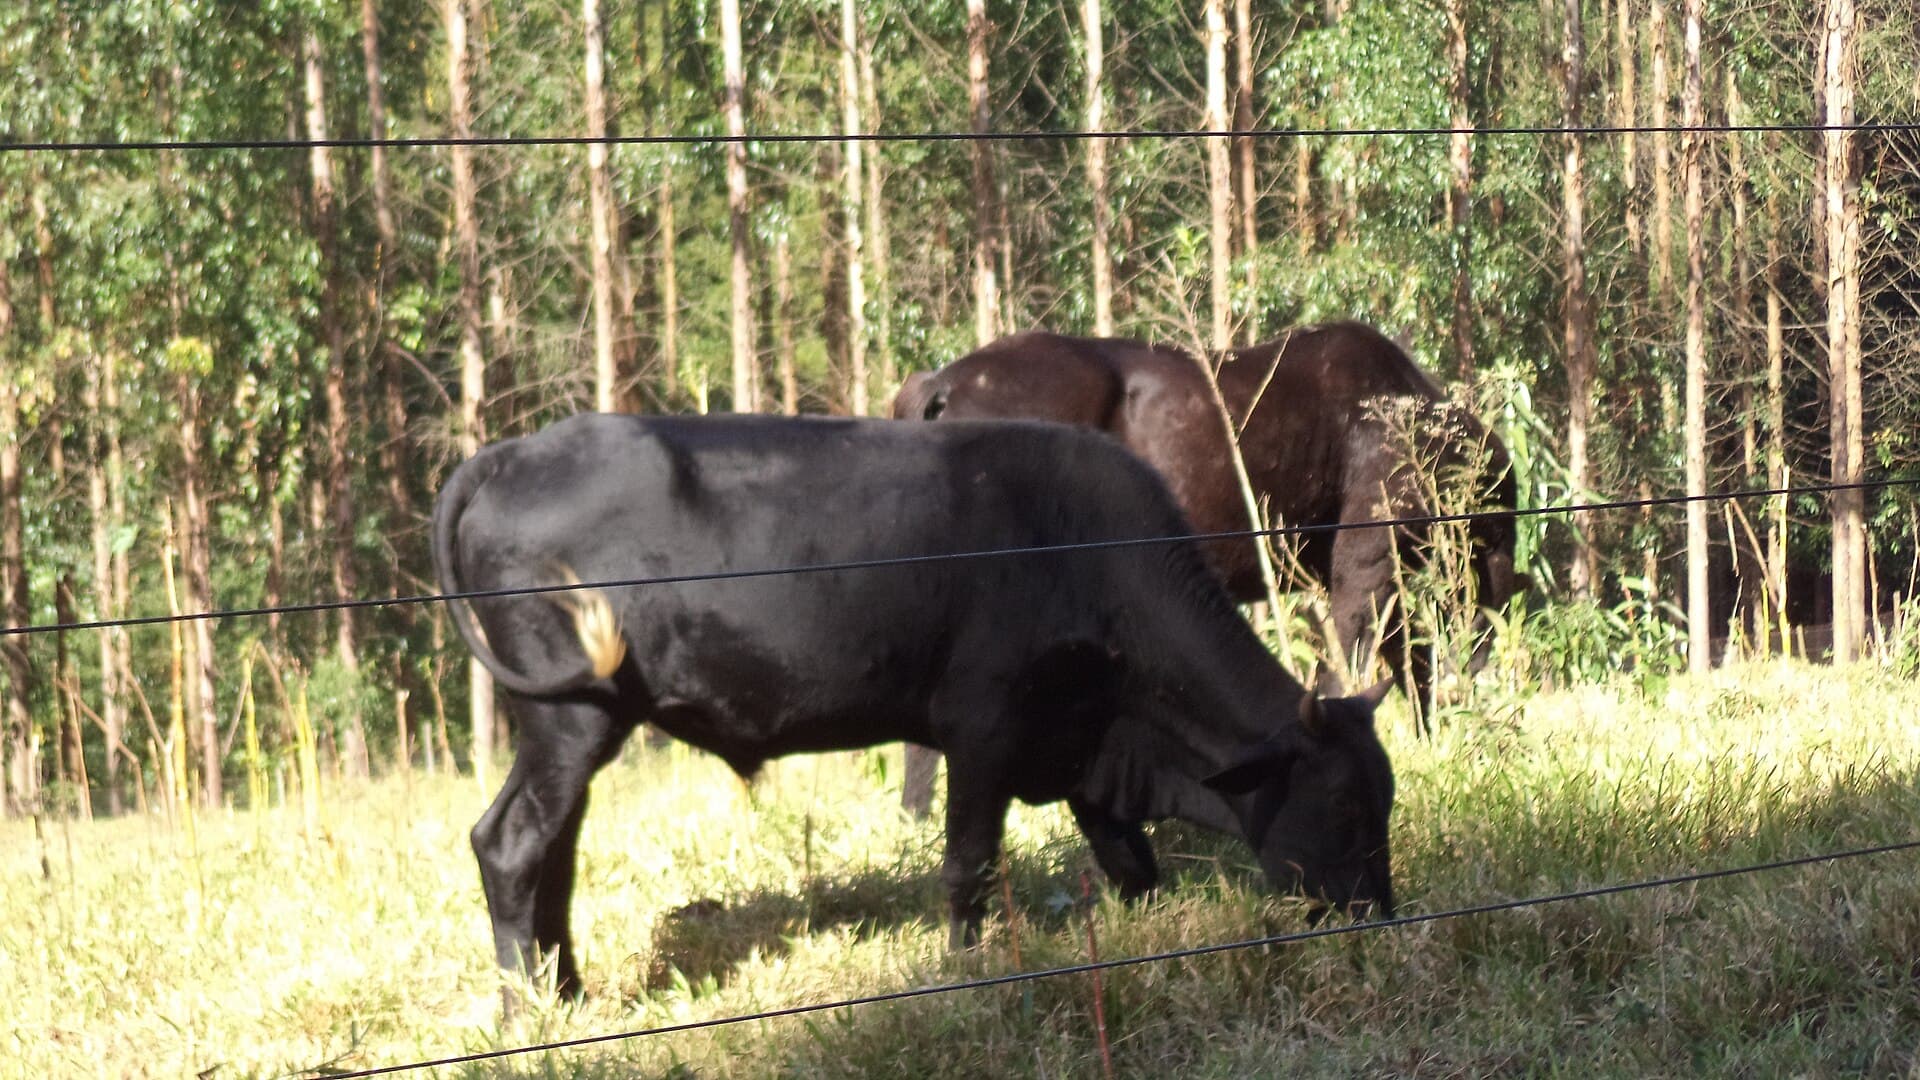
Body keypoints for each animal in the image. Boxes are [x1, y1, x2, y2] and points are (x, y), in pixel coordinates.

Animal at [433, 413, 1396, 997]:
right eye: (1345, 806)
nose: (1385, 922)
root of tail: (507, 455)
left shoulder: (1086, 748)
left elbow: (1134, 865)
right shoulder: (983, 726)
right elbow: (969, 865)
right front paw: (966, 974)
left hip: (576, 724)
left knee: (555, 853)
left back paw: (566, 991)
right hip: (571, 716)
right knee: (511, 844)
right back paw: (527, 1009)